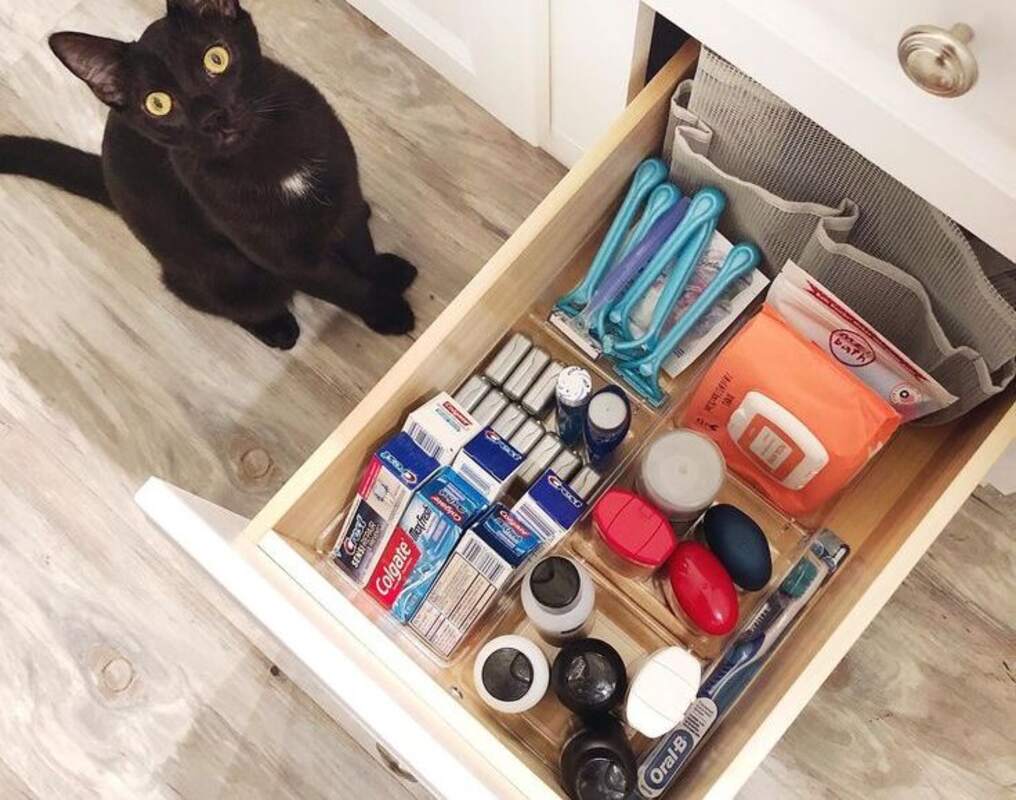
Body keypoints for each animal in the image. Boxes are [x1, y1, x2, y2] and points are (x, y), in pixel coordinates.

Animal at [0, 0, 416, 349]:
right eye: (158, 103)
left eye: (216, 59)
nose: (213, 117)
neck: (267, 156)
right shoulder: (287, 260)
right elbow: (341, 286)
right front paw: (387, 312)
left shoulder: (344, 193)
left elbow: (360, 248)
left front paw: (383, 275)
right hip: (228, 273)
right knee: (220, 300)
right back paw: (276, 328)